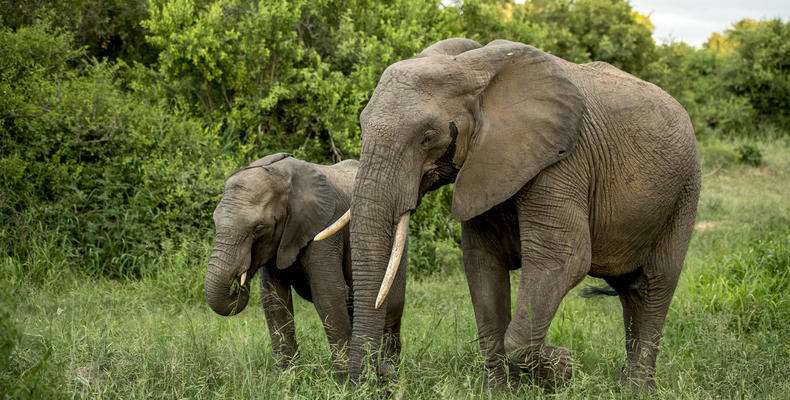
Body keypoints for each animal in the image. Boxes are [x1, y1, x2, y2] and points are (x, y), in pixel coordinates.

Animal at [204, 152, 408, 376]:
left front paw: (345, 381)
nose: (239, 280)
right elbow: (274, 299)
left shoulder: (325, 226)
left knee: (392, 307)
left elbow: (328, 294)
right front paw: (285, 378)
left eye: (259, 228)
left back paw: (393, 370)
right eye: (215, 221)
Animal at [332, 39, 704, 390]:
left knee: (655, 285)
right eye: (362, 125)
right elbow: (483, 265)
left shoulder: (562, 161)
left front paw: (562, 367)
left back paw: (636, 387)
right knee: (630, 291)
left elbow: (563, 259)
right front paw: (501, 390)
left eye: (427, 137)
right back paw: (625, 381)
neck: (473, 69)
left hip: (686, 190)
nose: (383, 375)